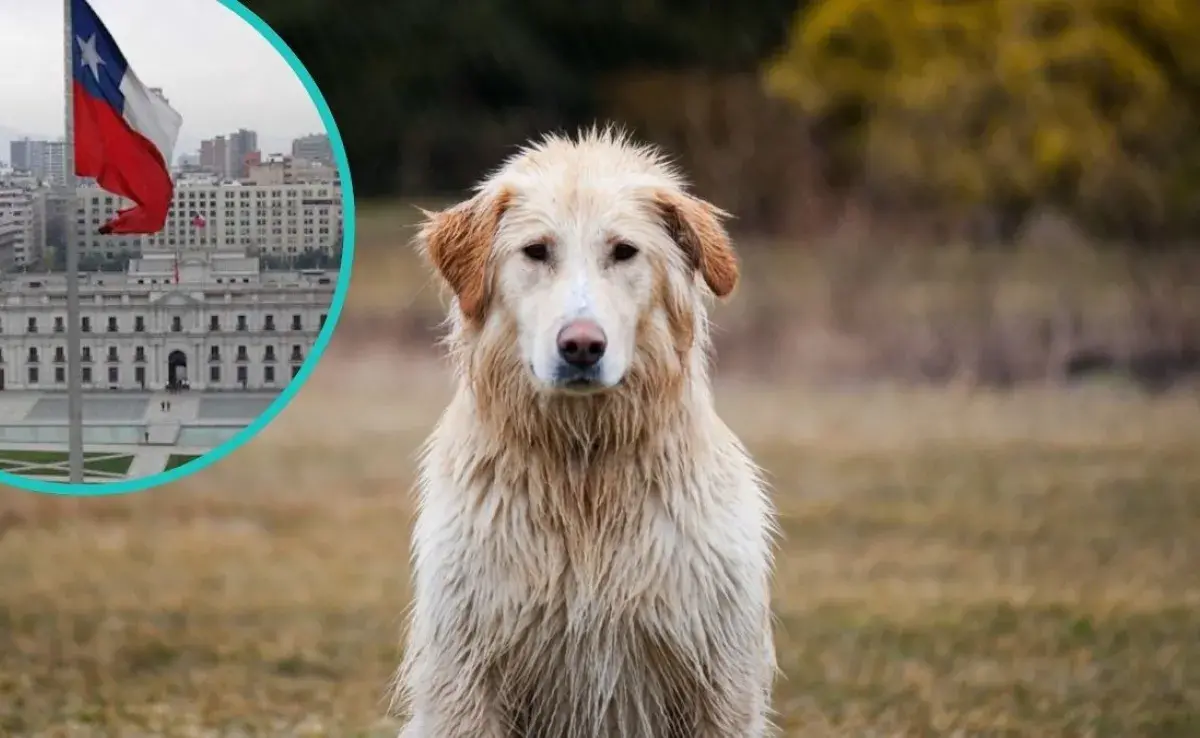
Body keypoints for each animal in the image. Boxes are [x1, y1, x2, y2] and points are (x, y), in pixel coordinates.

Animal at [396, 127, 777, 738]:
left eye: (623, 251)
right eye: (536, 251)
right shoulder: (466, 677)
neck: (585, 468)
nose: (581, 346)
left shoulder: (720, 680)